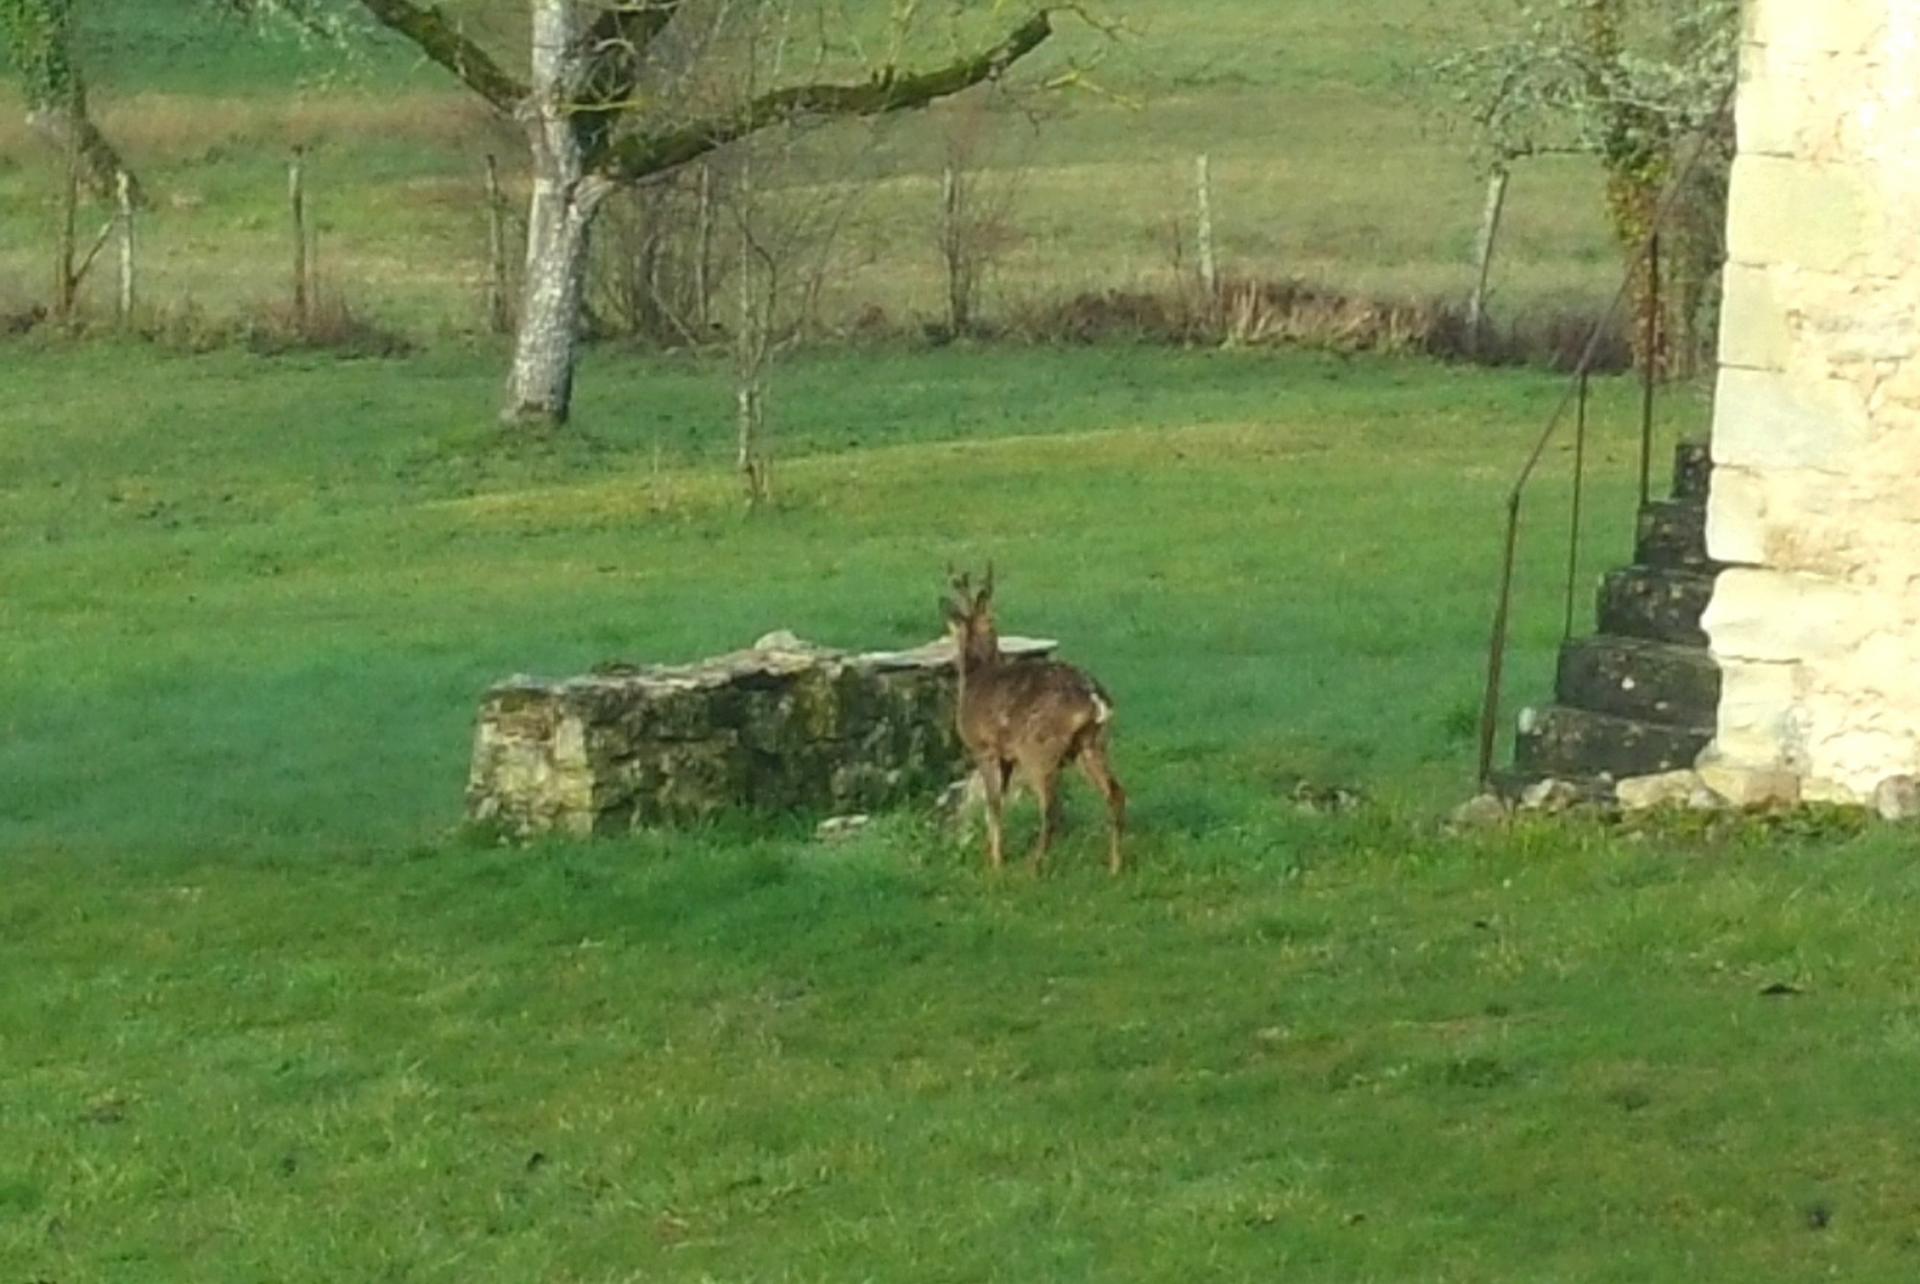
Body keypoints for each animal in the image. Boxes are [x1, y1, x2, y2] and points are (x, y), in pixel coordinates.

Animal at [940, 564, 1121, 875]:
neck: (975, 677)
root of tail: (1094, 697)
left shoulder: (983, 747)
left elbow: (993, 803)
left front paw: (996, 862)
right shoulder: (1008, 756)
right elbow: (1000, 802)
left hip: (1040, 749)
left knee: (1050, 808)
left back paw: (1034, 867)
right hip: (1092, 743)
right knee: (1114, 792)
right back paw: (1115, 866)